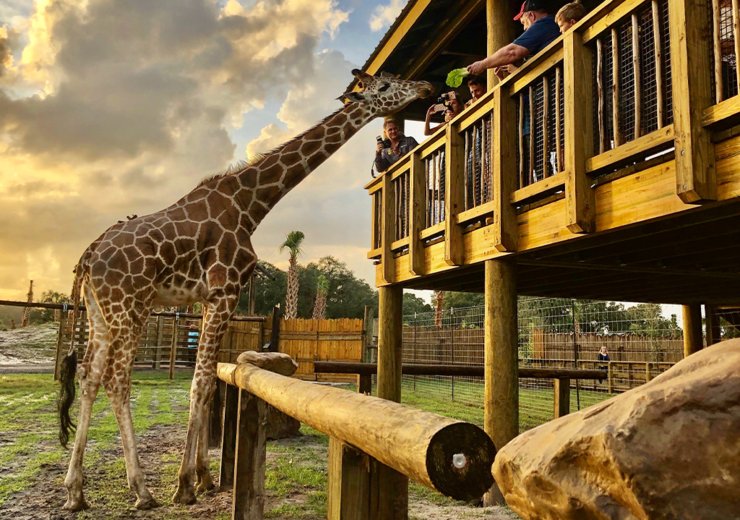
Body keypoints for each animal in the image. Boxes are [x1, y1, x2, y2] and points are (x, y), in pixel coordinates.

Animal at [57, 70, 432, 511]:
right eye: (386, 87)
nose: (425, 88)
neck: (250, 206)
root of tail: (89, 255)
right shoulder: (225, 290)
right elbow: (201, 383)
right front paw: (184, 486)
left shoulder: (211, 299)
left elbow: (207, 379)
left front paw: (202, 477)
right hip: (131, 305)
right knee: (117, 379)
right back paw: (142, 491)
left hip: (100, 310)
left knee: (89, 375)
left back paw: (76, 492)